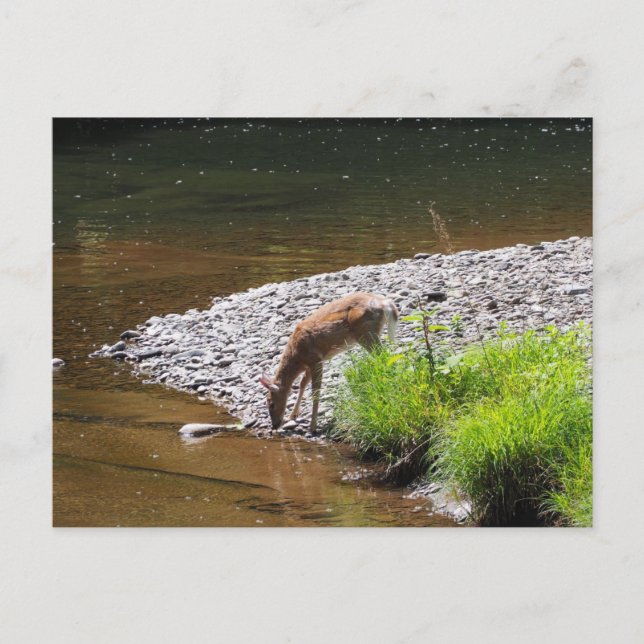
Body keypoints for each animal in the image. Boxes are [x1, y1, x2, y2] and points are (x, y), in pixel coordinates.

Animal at [259, 292, 399, 433]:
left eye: (271, 403)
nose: (274, 426)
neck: (296, 356)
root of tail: (385, 303)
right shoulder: (310, 364)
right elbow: (302, 384)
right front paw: (293, 415)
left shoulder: (315, 360)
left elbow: (315, 390)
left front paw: (313, 426)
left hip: (366, 334)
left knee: (385, 357)